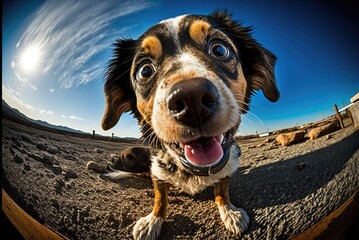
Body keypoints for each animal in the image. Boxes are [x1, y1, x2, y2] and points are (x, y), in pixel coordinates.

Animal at [100, 9, 280, 240]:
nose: (191, 98)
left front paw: (230, 213)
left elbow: (222, 190)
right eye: (145, 71)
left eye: (220, 50)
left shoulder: (228, 167)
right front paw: (152, 221)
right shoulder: (157, 172)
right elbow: (160, 199)